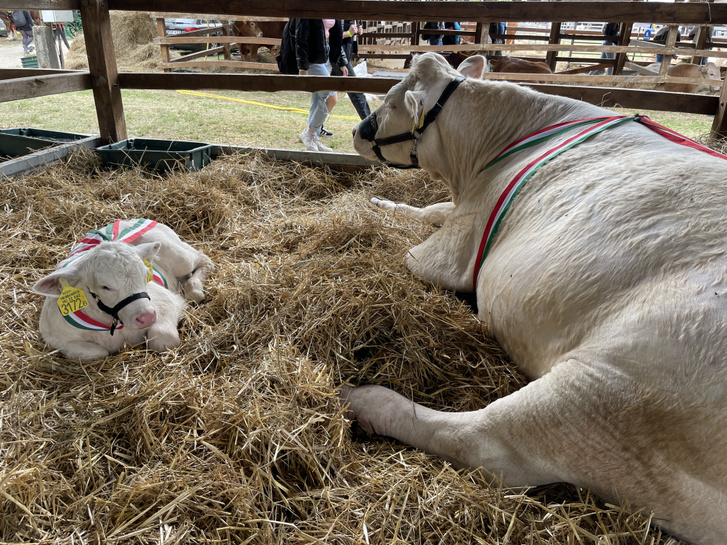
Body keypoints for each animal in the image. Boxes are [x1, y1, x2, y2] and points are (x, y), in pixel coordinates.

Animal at [33, 219, 213, 360]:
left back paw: (194, 288)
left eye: (145, 275)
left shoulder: (166, 300)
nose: (147, 317)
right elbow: (99, 352)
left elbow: (163, 338)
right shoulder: (55, 338)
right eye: (105, 286)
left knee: (203, 258)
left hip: (179, 256)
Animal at [346, 52, 727, 544]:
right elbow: (427, 209)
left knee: (482, 442)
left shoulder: (455, 244)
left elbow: (413, 247)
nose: (358, 131)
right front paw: (381, 204)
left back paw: (357, 396)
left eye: (392, 101)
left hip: (613, 388)